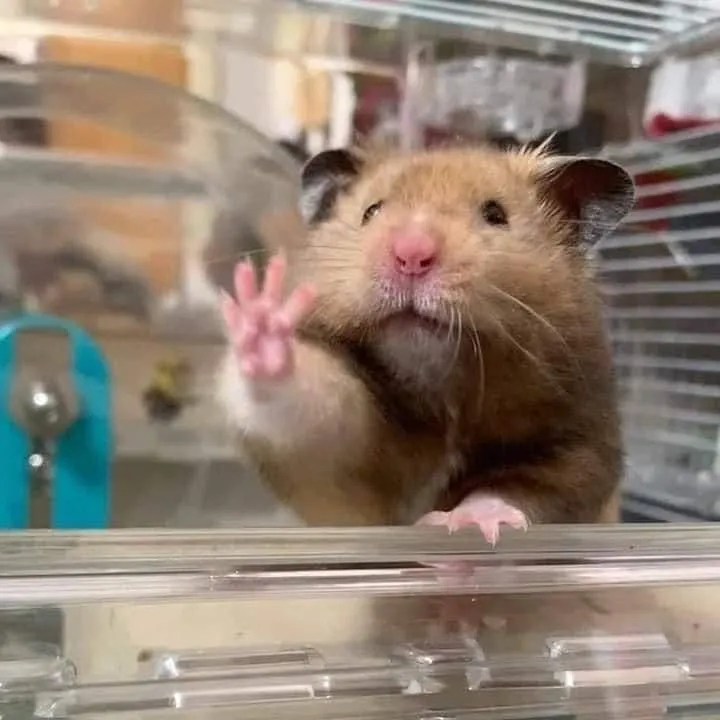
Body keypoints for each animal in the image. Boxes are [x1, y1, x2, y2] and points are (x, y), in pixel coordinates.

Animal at [215, 144, 635, 541]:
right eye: (371, 211)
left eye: (495, 214)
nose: (411, 255)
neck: (442, 388)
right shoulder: (344, 442)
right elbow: (308, 406)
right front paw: (261, 315)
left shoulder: (578, 443)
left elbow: (515, 489)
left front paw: (459, 526)